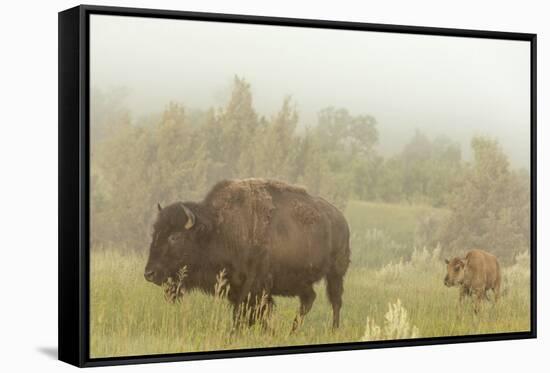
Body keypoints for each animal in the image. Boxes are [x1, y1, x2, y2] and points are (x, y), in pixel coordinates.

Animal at [142, 179, 350, 330]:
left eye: (175, 237)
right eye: (154, 233)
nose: (149, 273)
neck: (219, 229)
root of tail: (340, 218)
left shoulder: (253, 288)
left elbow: (247, 314)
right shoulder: (238, 288)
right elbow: (249, 314)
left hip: (335, 273)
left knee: (336, 301)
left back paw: (334, 330)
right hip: (302, 281)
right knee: (309, 299)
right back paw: (293, 331)